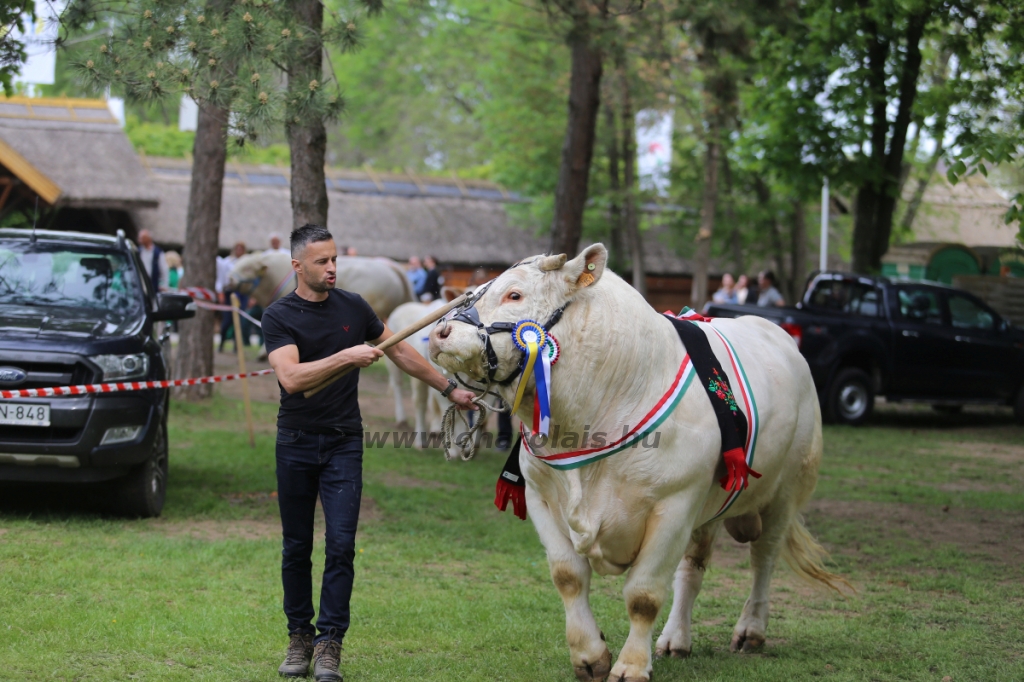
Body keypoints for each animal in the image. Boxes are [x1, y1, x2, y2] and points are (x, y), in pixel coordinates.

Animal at [428, 244, 843, 679]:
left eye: (514, 295)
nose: (439, 333)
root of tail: (775, 333)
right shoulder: (542, 497)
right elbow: (568, 577)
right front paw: (589, 655)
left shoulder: (674, 504)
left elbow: (644, 594)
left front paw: (630, 666)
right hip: (711, 507)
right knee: (692, 568)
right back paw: (676, 639)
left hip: (785, 491)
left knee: (764, 556)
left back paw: (751, 630)